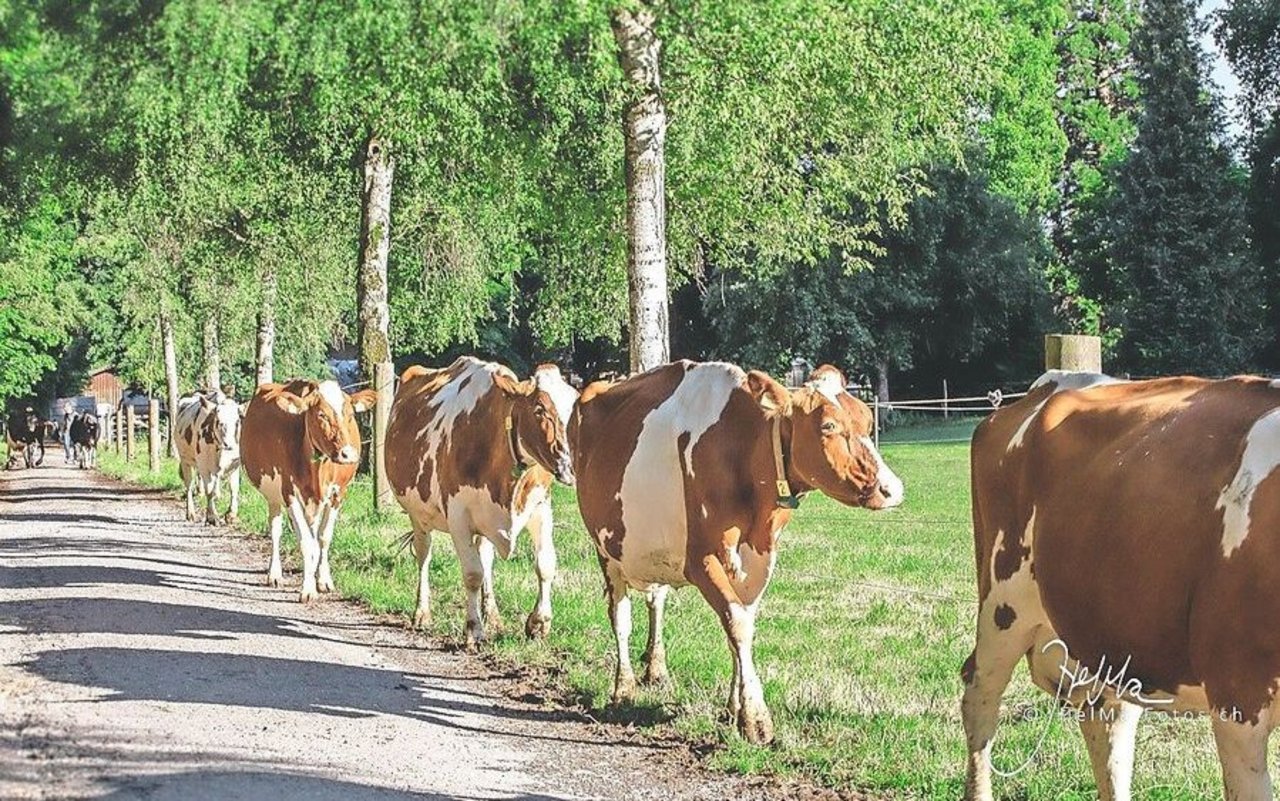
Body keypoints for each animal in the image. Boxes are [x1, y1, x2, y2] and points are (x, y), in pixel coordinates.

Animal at [174, 388, 243, 524]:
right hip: (185, 460)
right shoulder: (204, 466)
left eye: (237, 422)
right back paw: (190, 513)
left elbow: (234, 488)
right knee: (189, 486)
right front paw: (212, 516)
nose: (229, 444)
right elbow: (210, 491)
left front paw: (231, 514)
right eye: (219, 421)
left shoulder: (234, 464)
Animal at [240, 378, 373, 598]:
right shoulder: (289, 493)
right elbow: (305, 542)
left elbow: (323, 538)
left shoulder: (337, 495)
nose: (347, 454)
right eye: (321, 415)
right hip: (273, 494)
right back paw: (275, 574)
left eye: (350, 415)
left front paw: (324, 580)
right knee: (276, 529)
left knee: (313, 533)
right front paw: (308, 589)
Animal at [381, 355, 578, 642]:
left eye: (575, 405)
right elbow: (472, 574)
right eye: (540, 409)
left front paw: (539, 623)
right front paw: (474, 629)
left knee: (486, 557)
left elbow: (545, 564)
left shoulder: (541, 507)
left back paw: (493, 616)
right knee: (424, 555)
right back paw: (422, 613)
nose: (571, 466)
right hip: (418, 514)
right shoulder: (458, 516)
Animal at [565, 360, 906, 742]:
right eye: (828, 426)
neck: (746, 453)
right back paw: (623, 688)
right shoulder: (702, 559)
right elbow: (738, 625)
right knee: (620, 616)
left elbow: (740, 624)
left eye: (867, 421)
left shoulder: (761, 558)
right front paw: (756, 718)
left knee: (656, 600)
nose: (892, 489)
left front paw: (734, 708)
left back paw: (655, 668)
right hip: (606, 551)